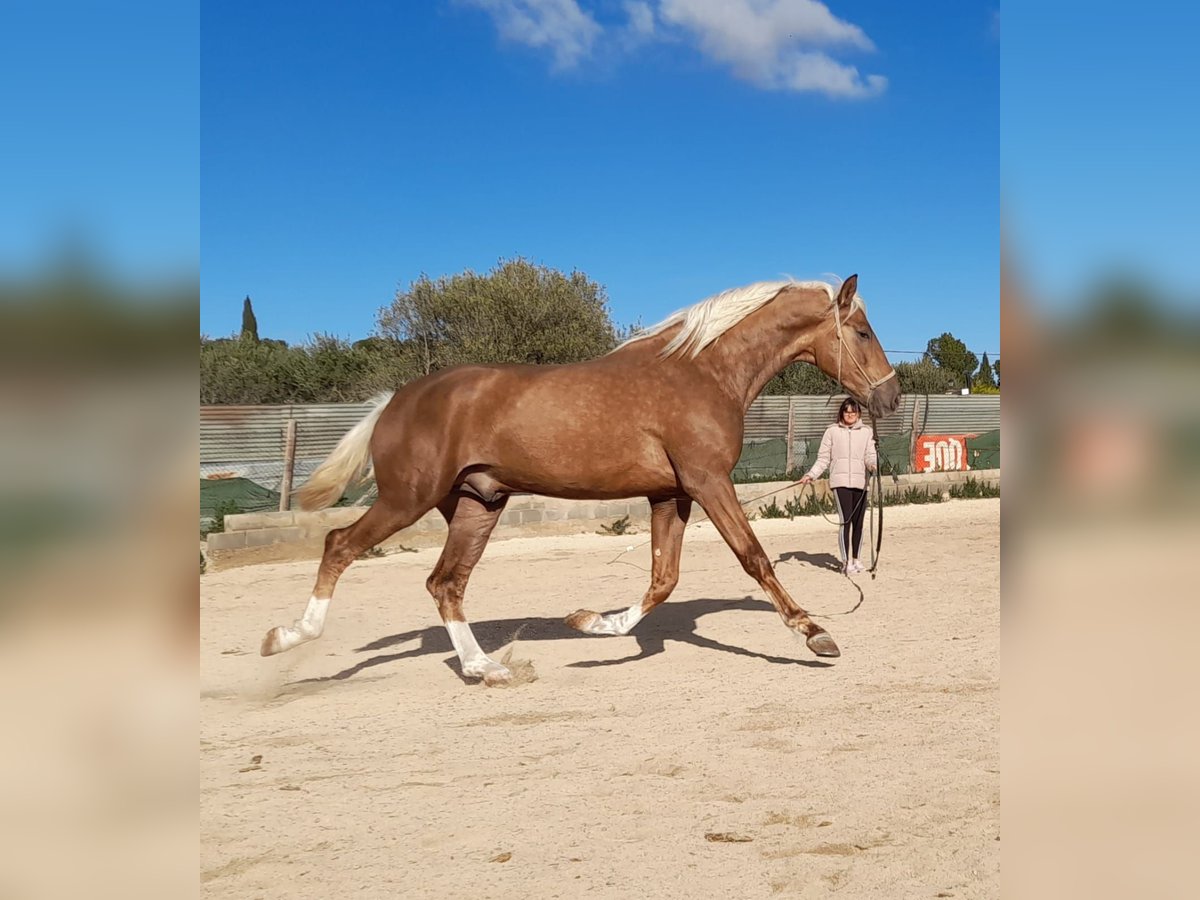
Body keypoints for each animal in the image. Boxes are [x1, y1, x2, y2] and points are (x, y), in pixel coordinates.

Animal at [262, 274, 902, 681]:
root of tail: (395, 401)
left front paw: (592, 623)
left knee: (445, 583)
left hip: (476, 504)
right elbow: (754, 558)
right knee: (340, 546)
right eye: (863, 332)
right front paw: (815, 635)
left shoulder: (670, 494)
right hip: (408, 498)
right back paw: (286, 639)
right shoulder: (707, 482)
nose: (890, 396)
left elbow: (662, 580)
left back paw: (486, 668)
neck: (702, 372)